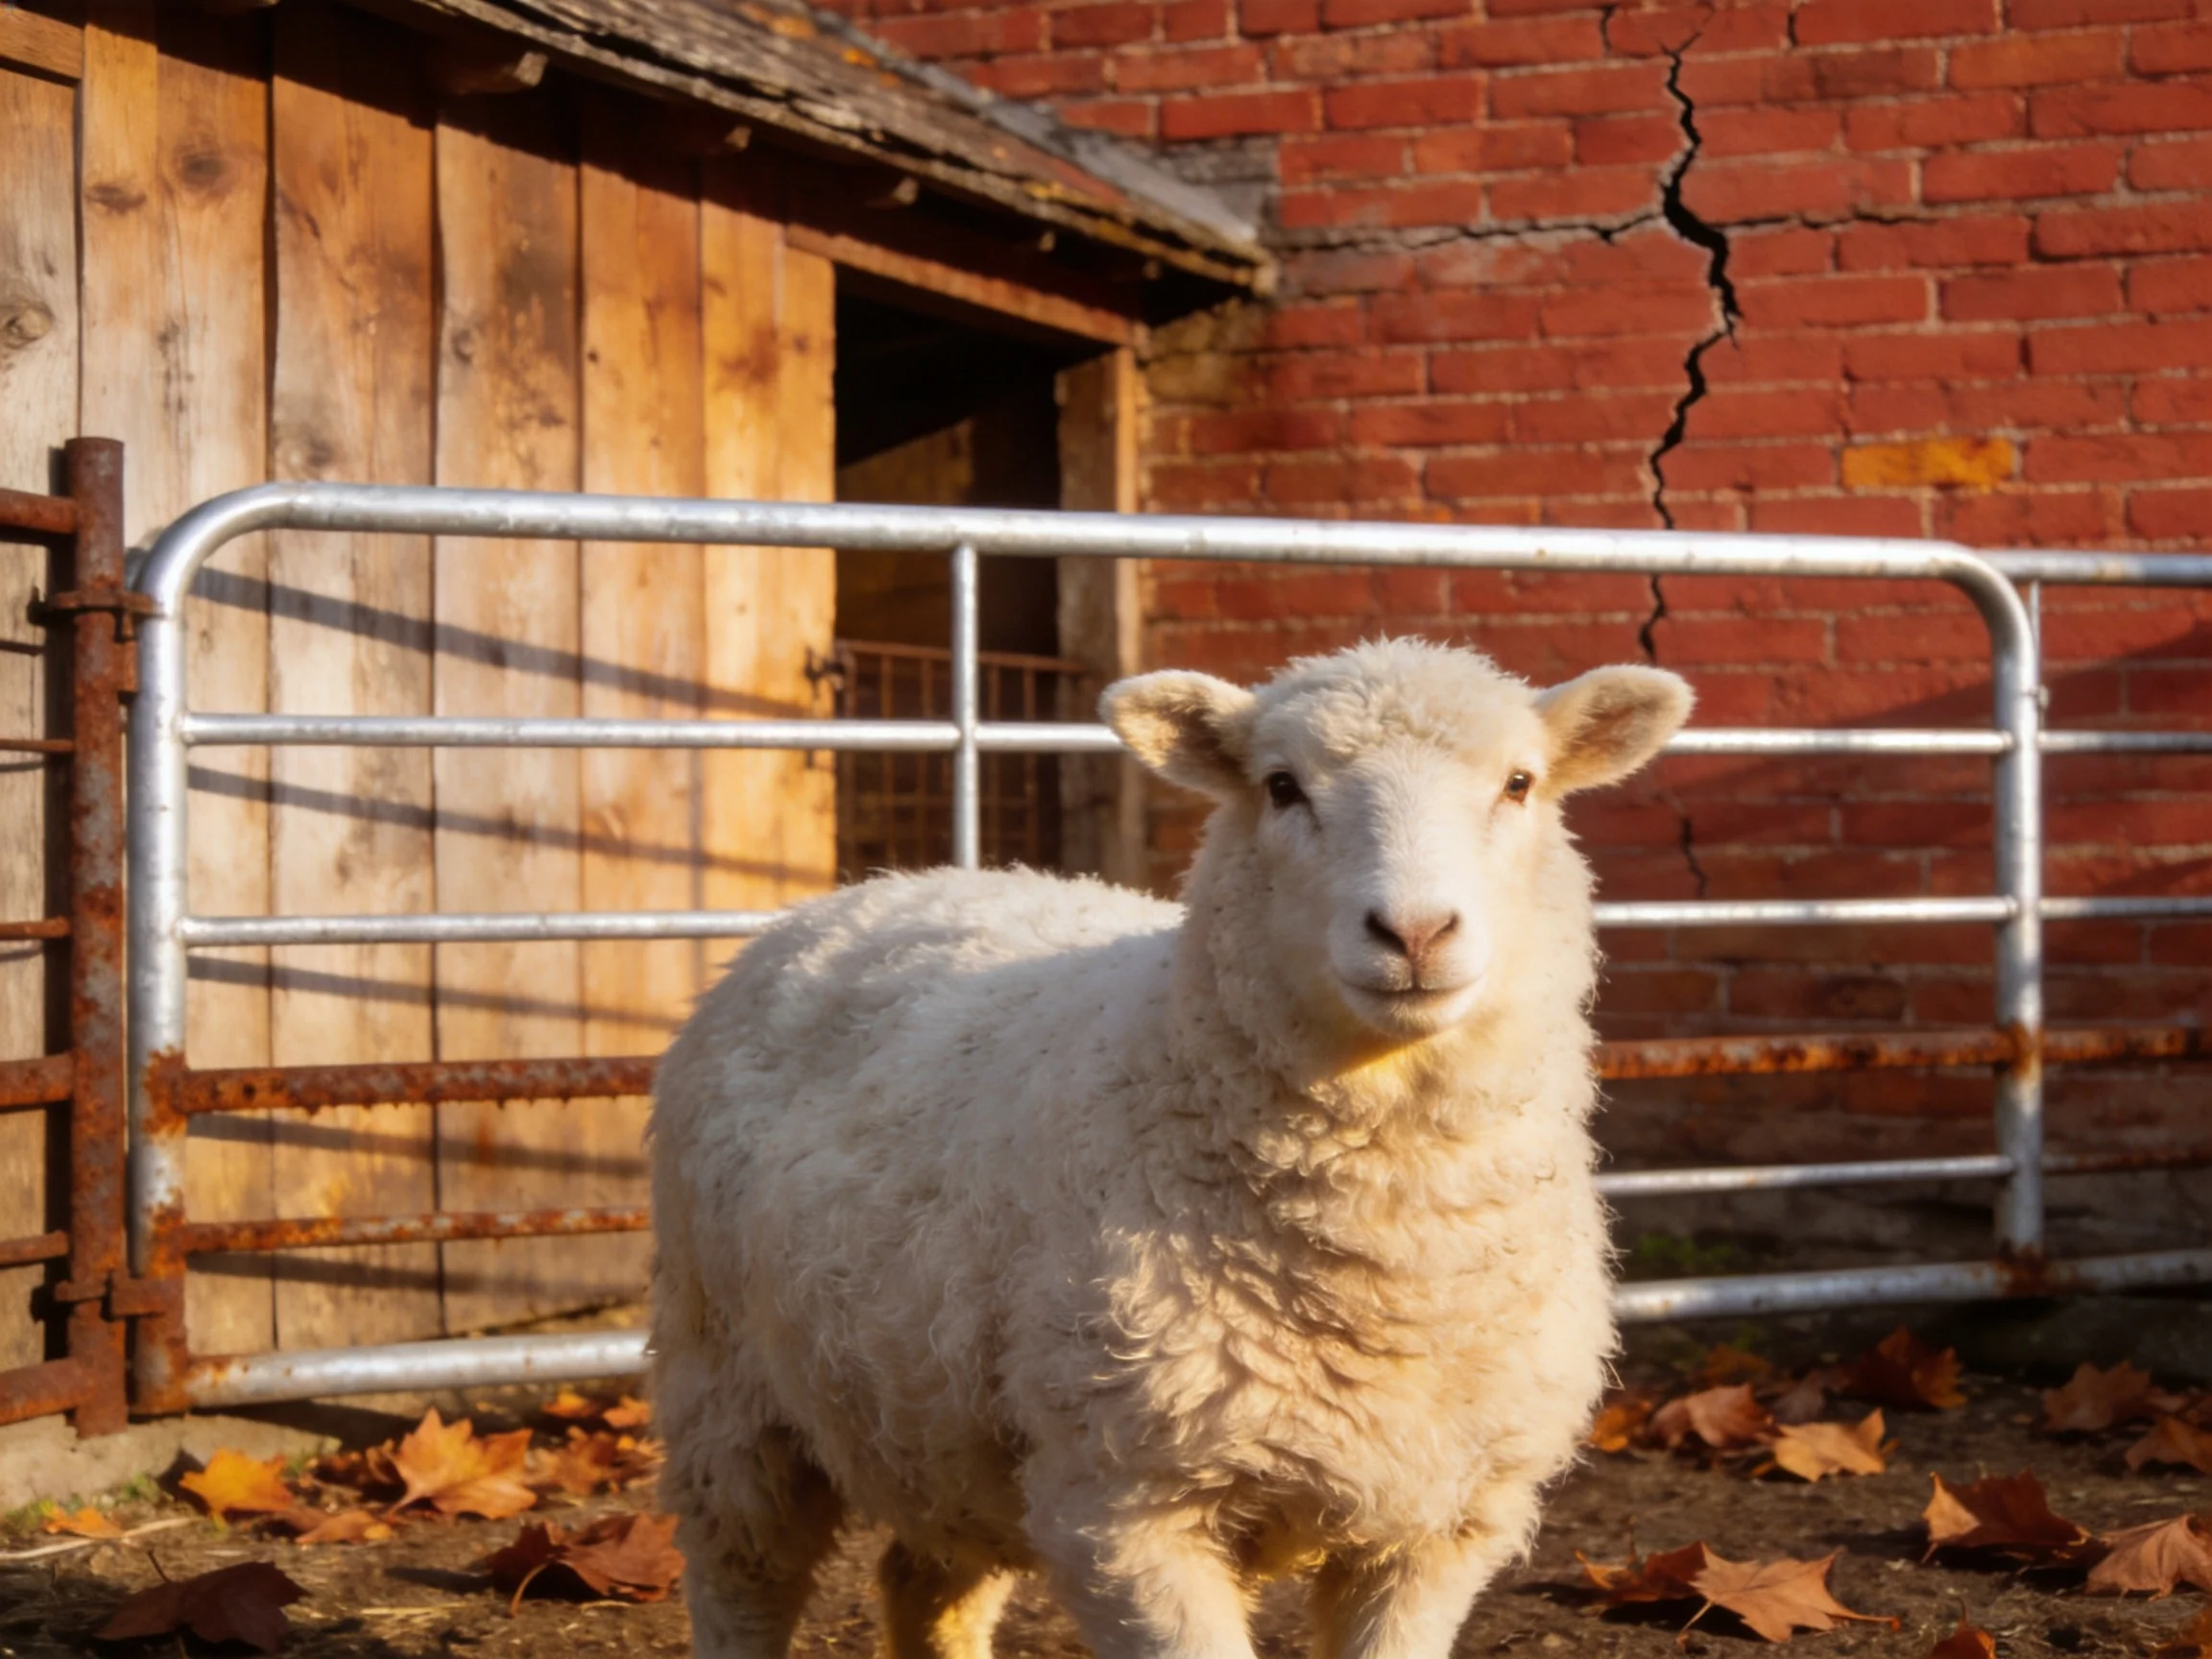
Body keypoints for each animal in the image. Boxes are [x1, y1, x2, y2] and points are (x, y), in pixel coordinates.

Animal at [649, 637, 1693, 1659]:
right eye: (1282, 786)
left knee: (926, 1586)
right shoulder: (1127, 1507)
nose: (1416, 932)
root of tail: (875, 889)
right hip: (726, 1390)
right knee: (741, 1582)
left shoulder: (1442, 1525)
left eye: (1520, 783)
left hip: (939, 1428)